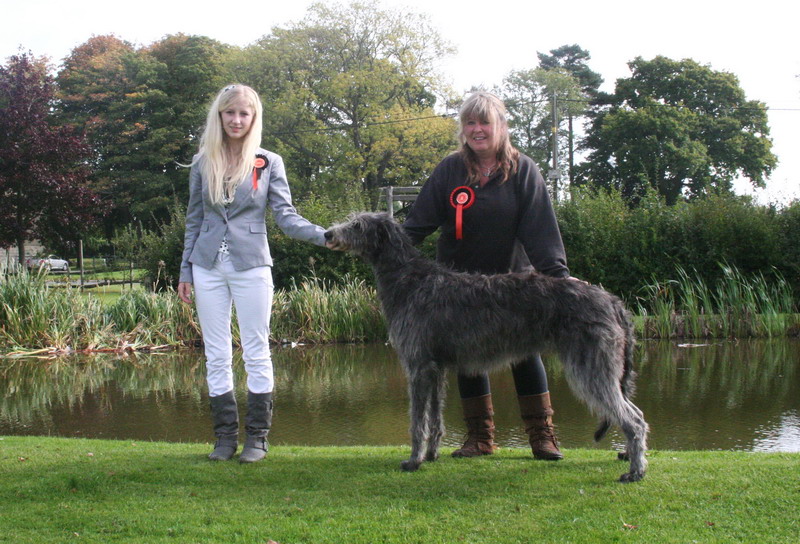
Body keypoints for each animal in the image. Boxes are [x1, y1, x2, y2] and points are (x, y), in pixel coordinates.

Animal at [324, 210, 648, 482]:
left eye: (357, 225)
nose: (327, 234)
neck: (409, 279)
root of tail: (613, 301)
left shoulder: (418, 367)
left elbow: (417, 421)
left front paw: (413, 460)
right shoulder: (435, 368)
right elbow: (434, 417)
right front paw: (431, 455)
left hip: (591, 368)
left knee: (633, 420)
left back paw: (635, 472)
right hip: (605, 369)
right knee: (638, 414)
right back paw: (634, 460)